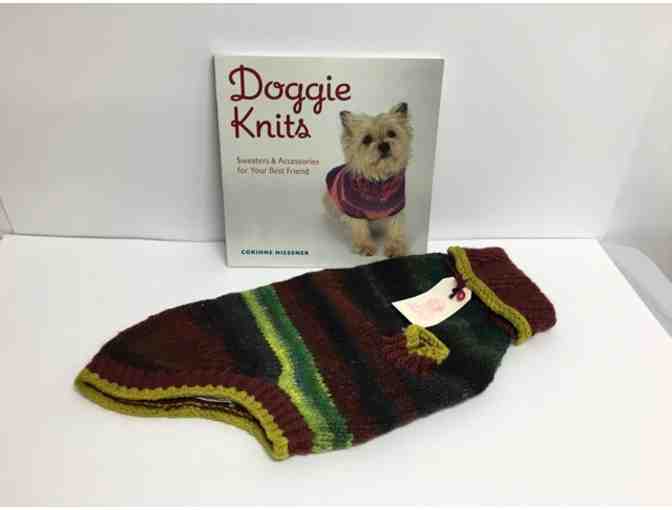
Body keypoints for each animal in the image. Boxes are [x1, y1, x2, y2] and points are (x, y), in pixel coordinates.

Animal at [323, 102, 412, 257]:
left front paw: (395, 247)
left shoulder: (396, 207)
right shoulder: (354, 209)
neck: (378, 181)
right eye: (367, 139)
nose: (384, 145)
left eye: (392, 133)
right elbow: (360, 228)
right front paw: (364, 245)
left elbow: (396, 227)